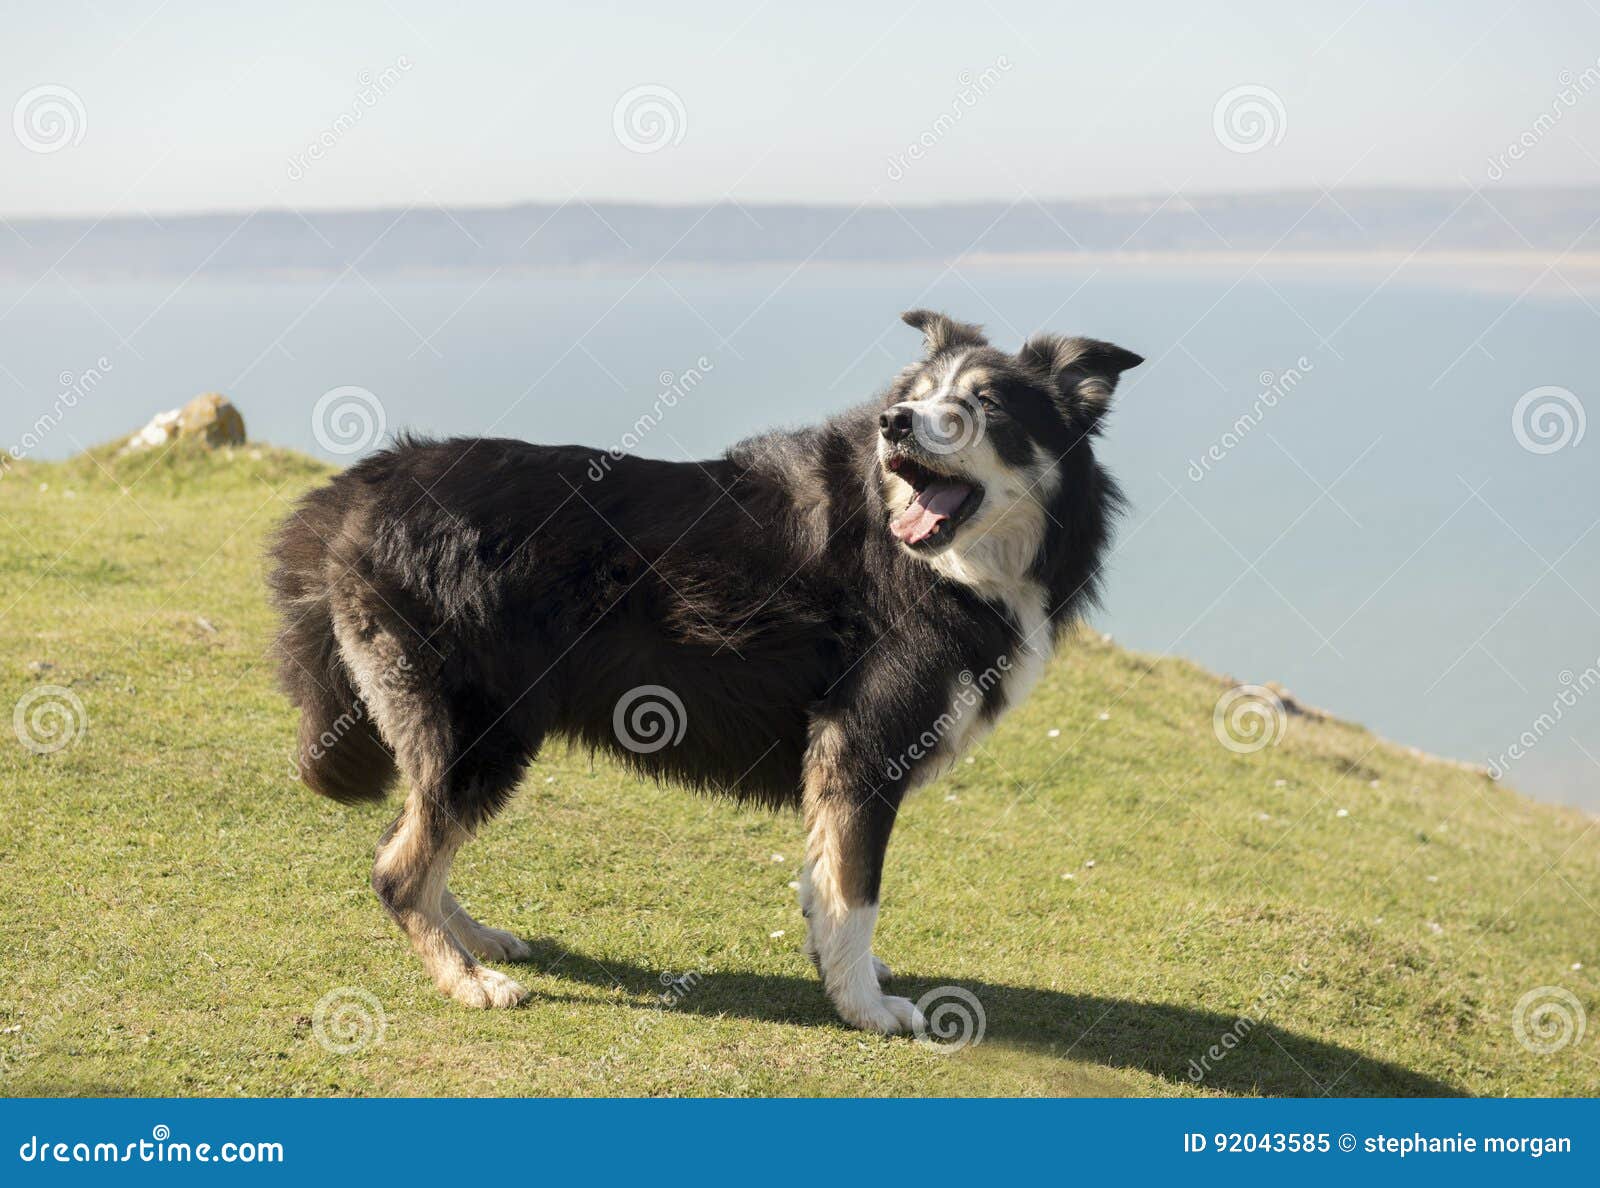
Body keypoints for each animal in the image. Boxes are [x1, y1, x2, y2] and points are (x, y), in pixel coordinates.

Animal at [272, 313, 1139, 1031]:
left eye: (984, 404)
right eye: (914, 399)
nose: (892, 424)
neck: (943, 564)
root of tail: (367, 481)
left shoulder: (835, 758)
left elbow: (824, 877)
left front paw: (836, 964)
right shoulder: (865, 745)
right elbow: (857, 889)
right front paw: (864, 1005)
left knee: (412, 840)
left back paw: (474, 937)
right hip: (480, 730)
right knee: (398, 867)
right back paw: (466, 979)